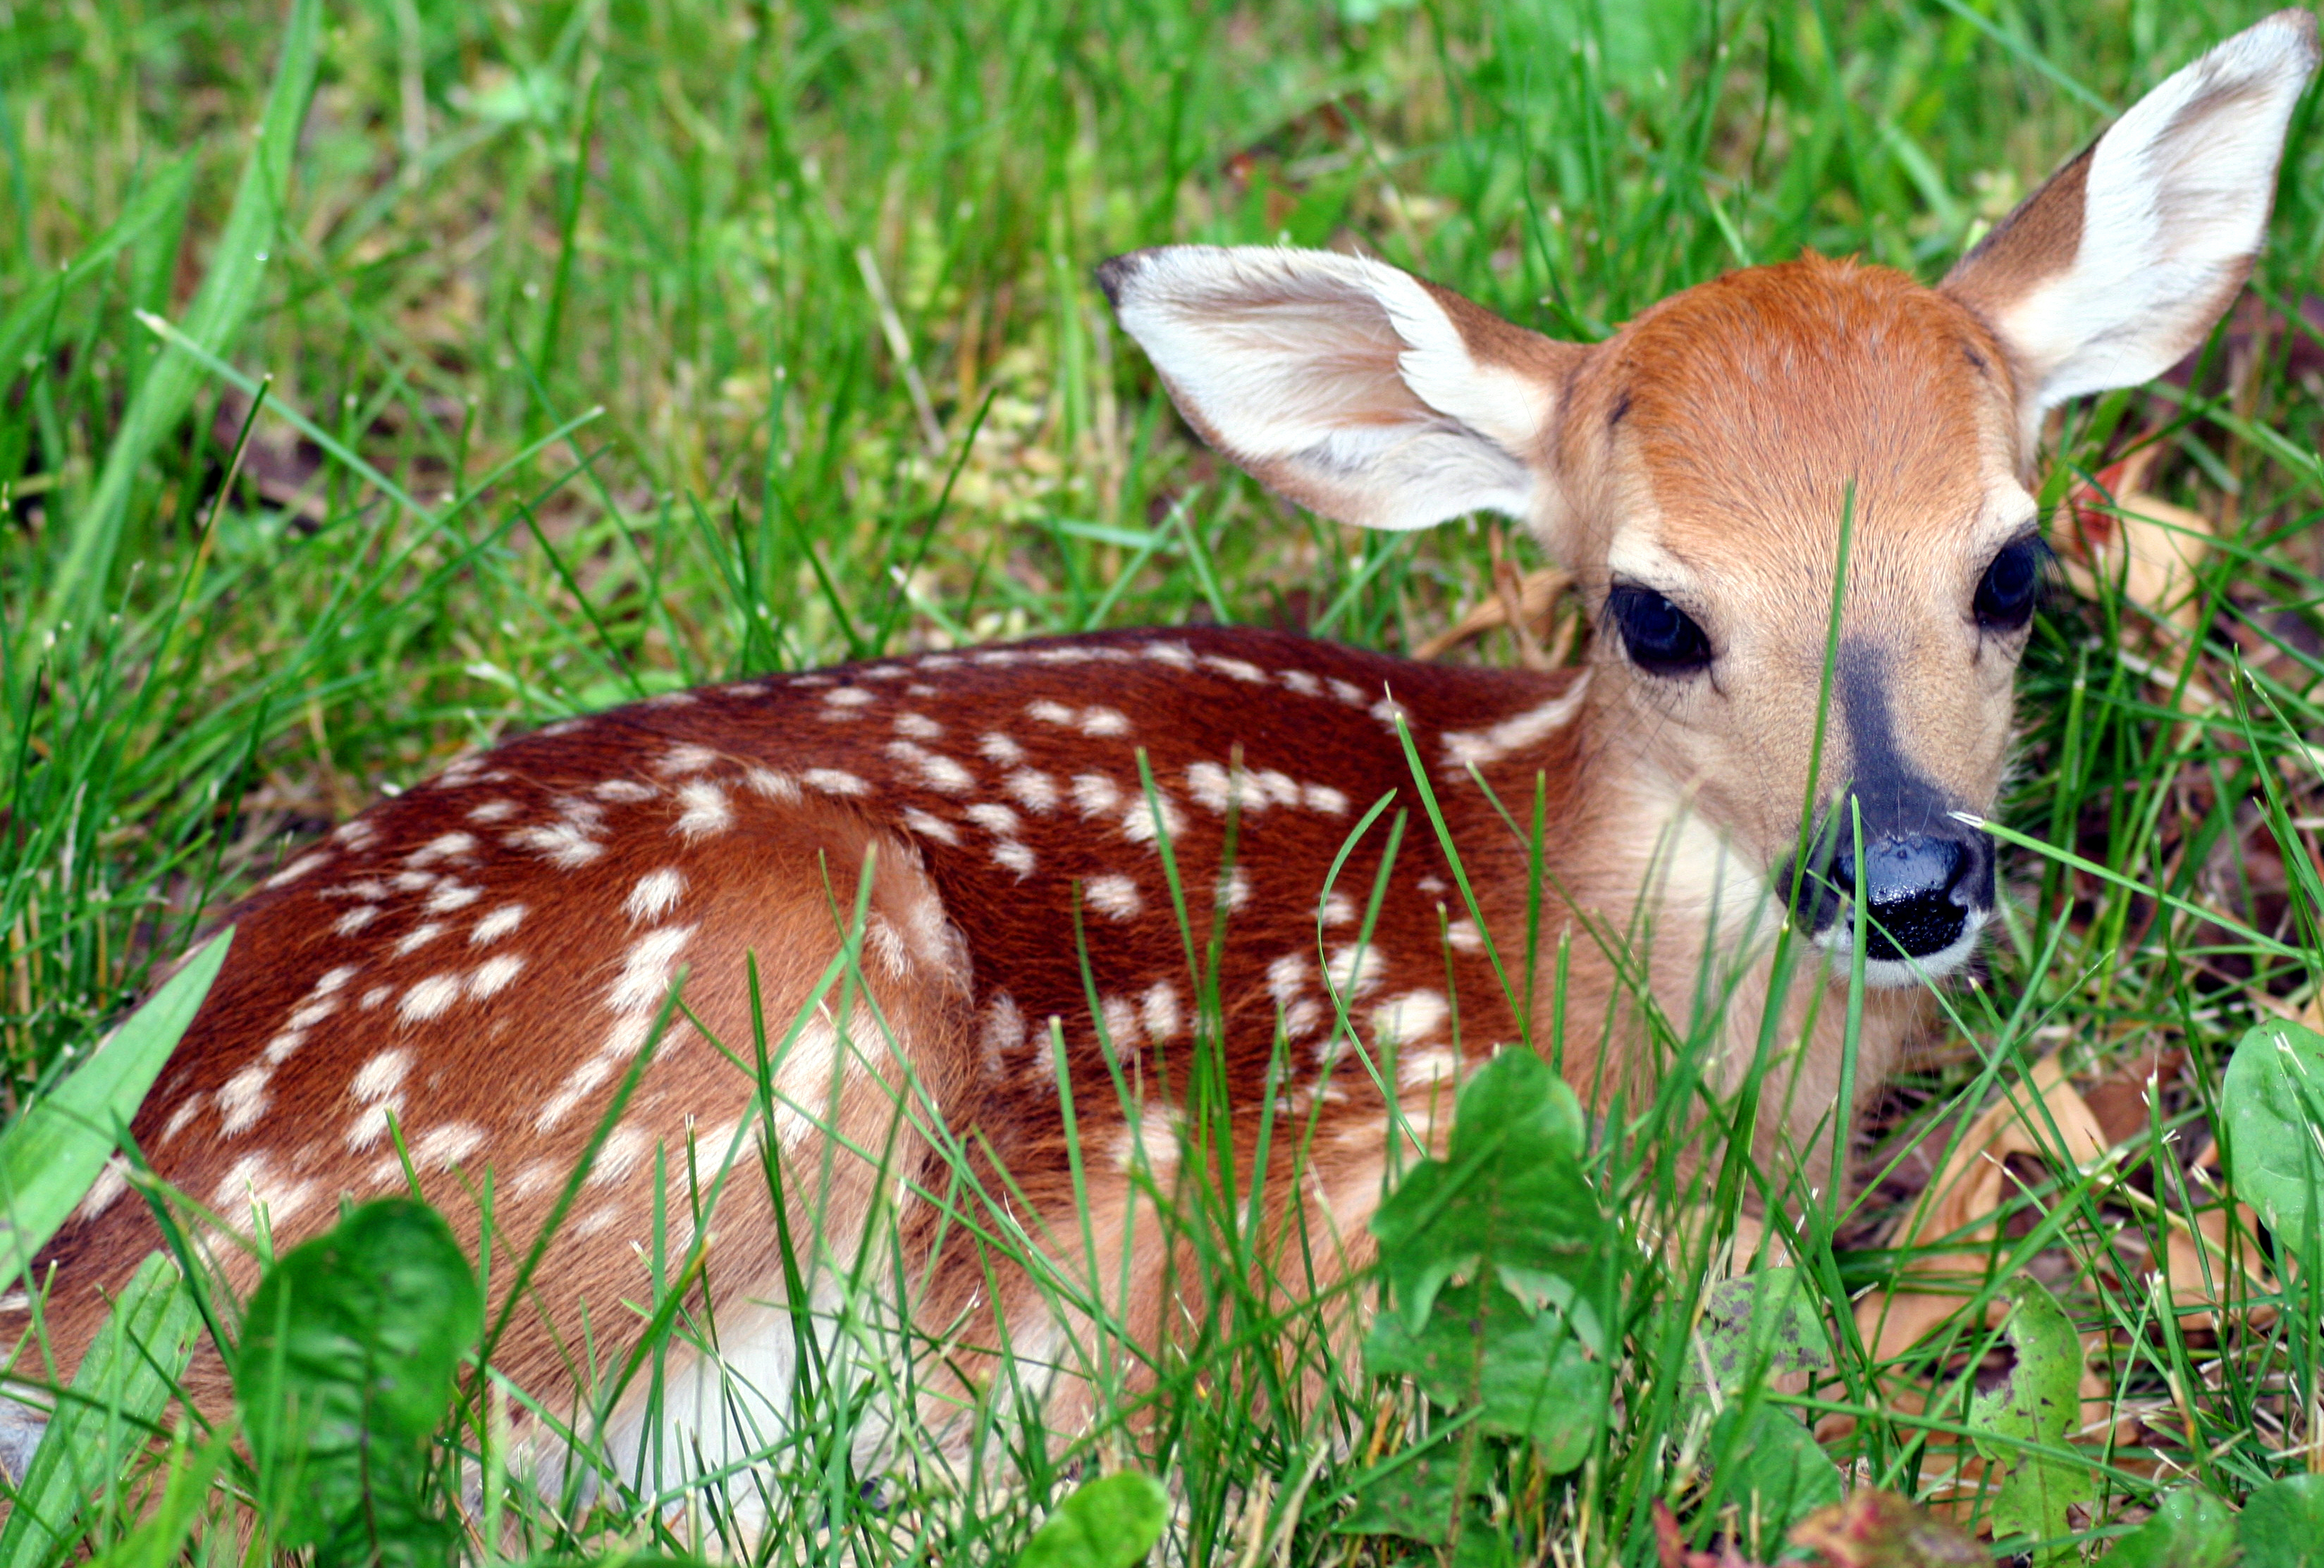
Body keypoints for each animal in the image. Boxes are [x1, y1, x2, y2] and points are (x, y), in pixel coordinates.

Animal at [1, 10, 2313, 1492]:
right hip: (733, 1013)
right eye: (1655, 614)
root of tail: (68, 1281)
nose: (1903, 880)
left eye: (2014, 568)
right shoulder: (1344, 1186)